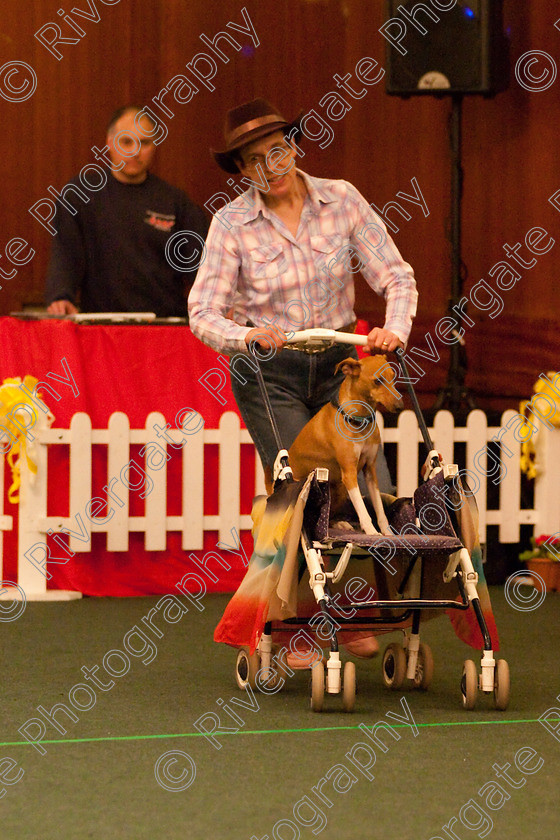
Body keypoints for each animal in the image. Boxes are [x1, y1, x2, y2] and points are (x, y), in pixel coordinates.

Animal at [286, 354, 400, 532]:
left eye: (393, 377)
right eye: (377, 381)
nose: (400, 406)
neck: (358, 422)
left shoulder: (370, 471)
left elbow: (380, 511)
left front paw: (387, 533)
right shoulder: (349, 474)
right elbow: (363, 511)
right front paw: (372, 532)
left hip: (340, 490)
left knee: (327, 516)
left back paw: (339, 523)